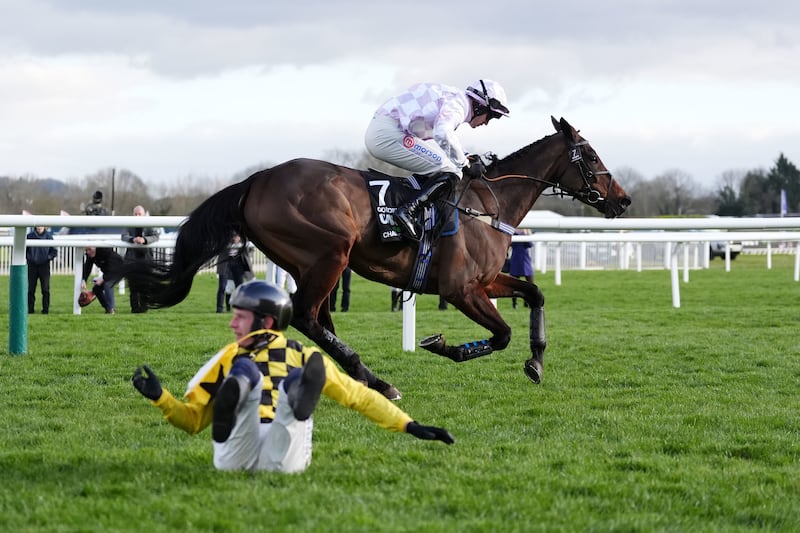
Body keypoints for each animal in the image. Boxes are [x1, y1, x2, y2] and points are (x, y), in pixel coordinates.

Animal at [126, 116, 632, 400]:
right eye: (590, 155)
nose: (623, 200)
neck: (489, 205)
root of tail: (256, 180)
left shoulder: (487, 281)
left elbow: (535, 294)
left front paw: (537, 362)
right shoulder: (460, 289)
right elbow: (502, 333)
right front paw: (445, 346)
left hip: (312, 263)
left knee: (318, 319)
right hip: (330, 253)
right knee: (307, 316)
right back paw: (376, 380)